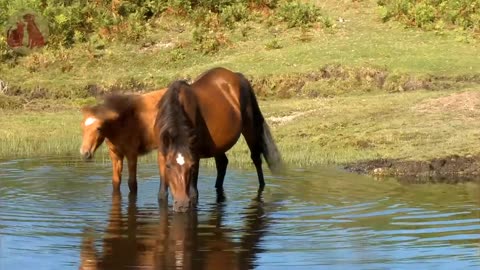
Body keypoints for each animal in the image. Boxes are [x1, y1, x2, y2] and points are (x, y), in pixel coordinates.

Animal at [155, 67, 282, 211]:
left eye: (191, 166)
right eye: (168, 166)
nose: (182, 204)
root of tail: (238, 76)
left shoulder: (195, 156)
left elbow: (194, 193)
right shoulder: (162, 155)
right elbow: (161, 194)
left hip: (249, 128)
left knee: (256, 158)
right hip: (218, 145)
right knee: (222, 163)